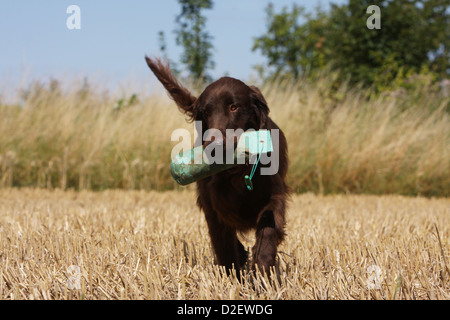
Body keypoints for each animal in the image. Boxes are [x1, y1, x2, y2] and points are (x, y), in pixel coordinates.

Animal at [146, 57, 290, 276]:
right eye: (205, 112)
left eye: (234, 107)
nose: (215, 146)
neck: (238, 172)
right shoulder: (213, 204)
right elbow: (224, 243)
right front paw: (233, 275)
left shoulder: (275, 195)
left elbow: (267, 229)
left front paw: (264, 271)